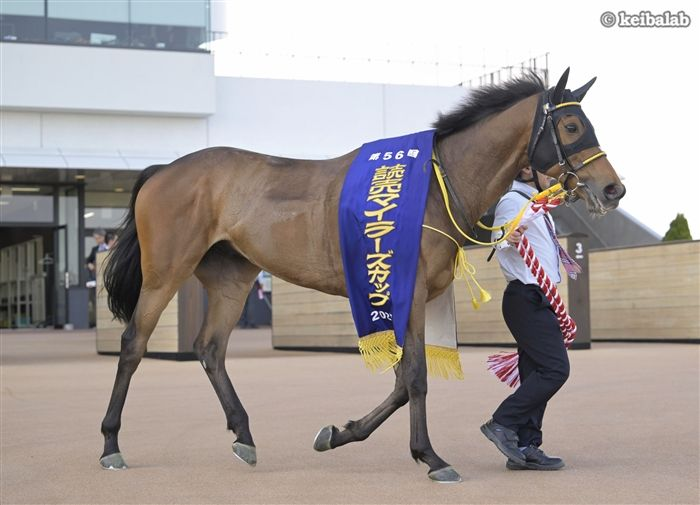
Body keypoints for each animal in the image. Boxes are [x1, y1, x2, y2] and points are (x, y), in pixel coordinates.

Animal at [100, 68, 626, 482]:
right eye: (572, 125)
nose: (612, 188)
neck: (434, 184)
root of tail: (164, 169)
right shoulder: (407, 290)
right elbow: (415, 377)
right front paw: (431, 457)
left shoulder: (408, 297)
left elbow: (401, 381)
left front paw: (339, 433)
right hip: (165, 272)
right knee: (133, 344)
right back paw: (110, 445)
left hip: (233, 278)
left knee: (210, 348)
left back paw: (244, 436)